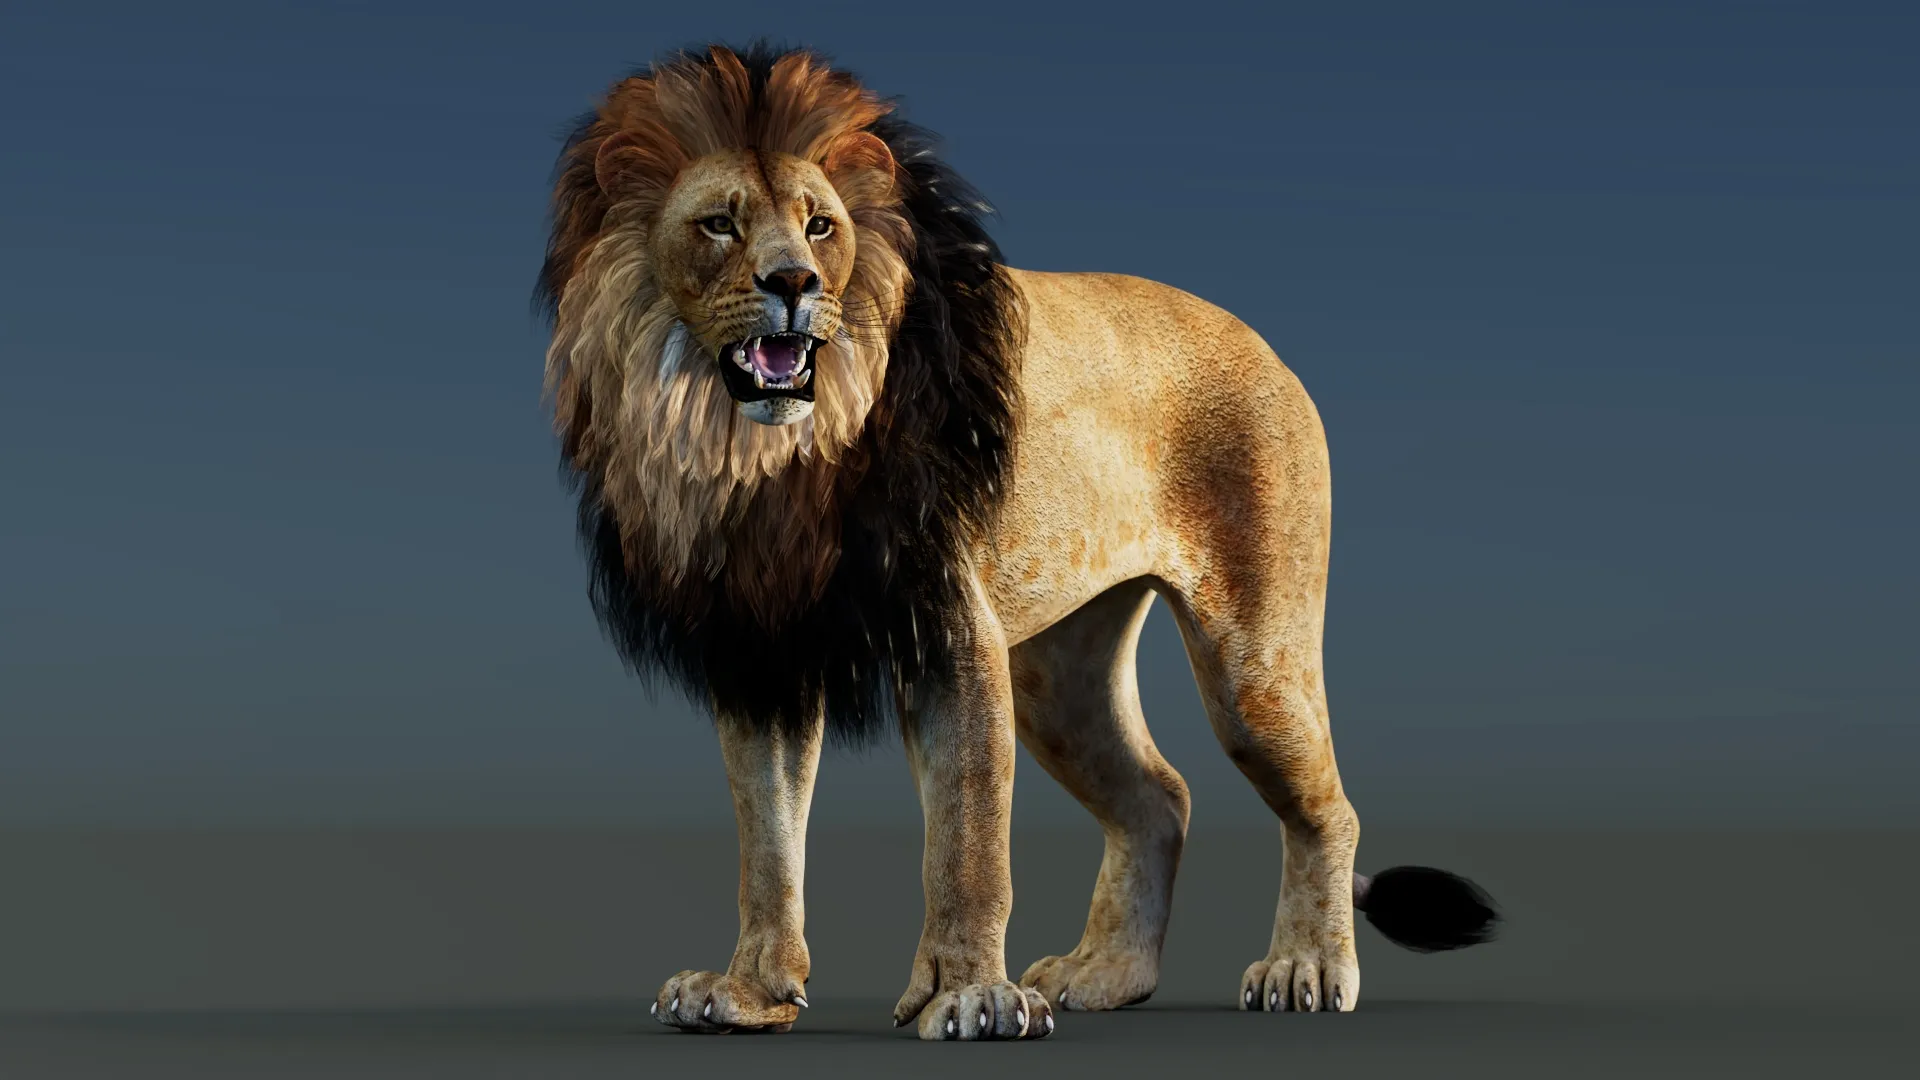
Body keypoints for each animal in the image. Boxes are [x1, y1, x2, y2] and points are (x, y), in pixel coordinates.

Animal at [537, 43, 1499, 1041]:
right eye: (720, 224)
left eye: (820, 227)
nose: (795, 284)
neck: (759, 455)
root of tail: (1265, 345)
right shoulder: (765, 650)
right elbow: (766, 841)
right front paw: (749, 992)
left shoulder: (949, 638)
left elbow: (966, 841)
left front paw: (970, 995)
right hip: (1057, 676)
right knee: (1160, 798)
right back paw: (1106, 972)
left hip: (1252, 661)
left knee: (1326, 809)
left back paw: (1305, 965)